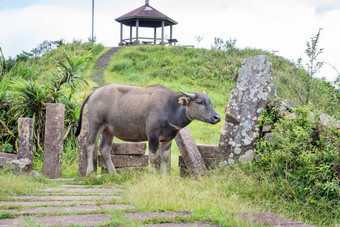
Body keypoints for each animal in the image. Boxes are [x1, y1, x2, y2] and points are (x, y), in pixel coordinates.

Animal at [75, 84, 220, 176]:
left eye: (210, 102)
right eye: (200, 102)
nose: (217, 117)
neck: (171, 108)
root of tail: (95, 92)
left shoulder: (168, 138)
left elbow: (164, 157)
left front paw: (163, 176)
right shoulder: (153, 136)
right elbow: (153, 156)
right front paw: (152, 174)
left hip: (108, 130)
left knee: (104, 149)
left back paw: (114, 174)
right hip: (95, 124)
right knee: (89, 145)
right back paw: (89, 172)